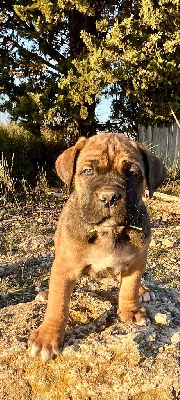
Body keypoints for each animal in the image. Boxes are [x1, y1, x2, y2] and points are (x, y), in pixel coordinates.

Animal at [28, 133, 167, 360]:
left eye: (132, 173)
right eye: (88, 171)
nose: (109, 197)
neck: (108, 231)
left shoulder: (137, 261)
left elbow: (130, 286)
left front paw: (131, 310)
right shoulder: (64, 267)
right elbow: (58, 305)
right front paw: (47, 337)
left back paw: (143, 289)